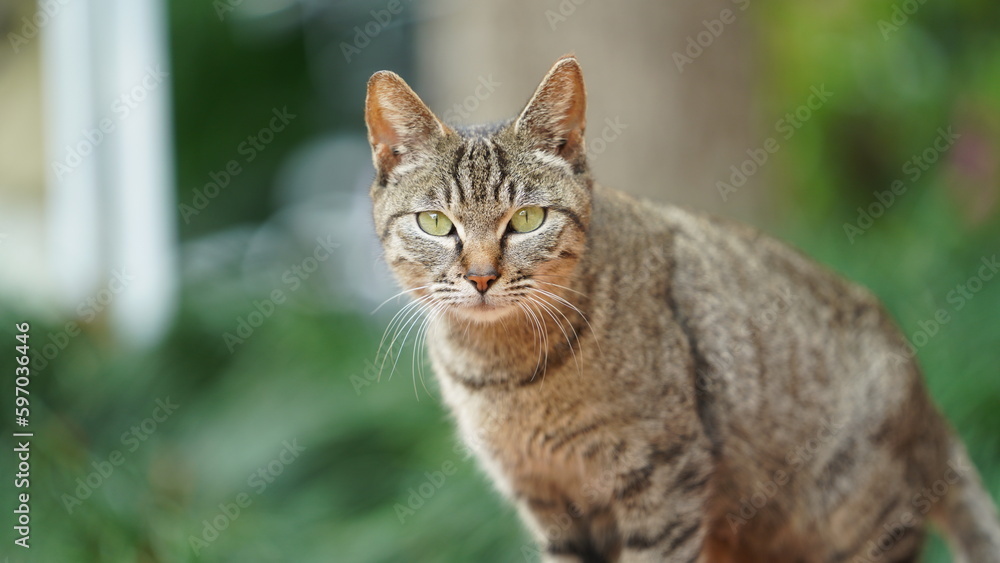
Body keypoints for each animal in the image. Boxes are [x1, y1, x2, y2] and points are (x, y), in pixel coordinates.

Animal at [366, 56, 1000, 563]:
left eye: (527, 219)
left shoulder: (663, 479)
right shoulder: (550, 503)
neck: (504, 373)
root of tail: (926, 402)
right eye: (435, 223)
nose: (480, 277)